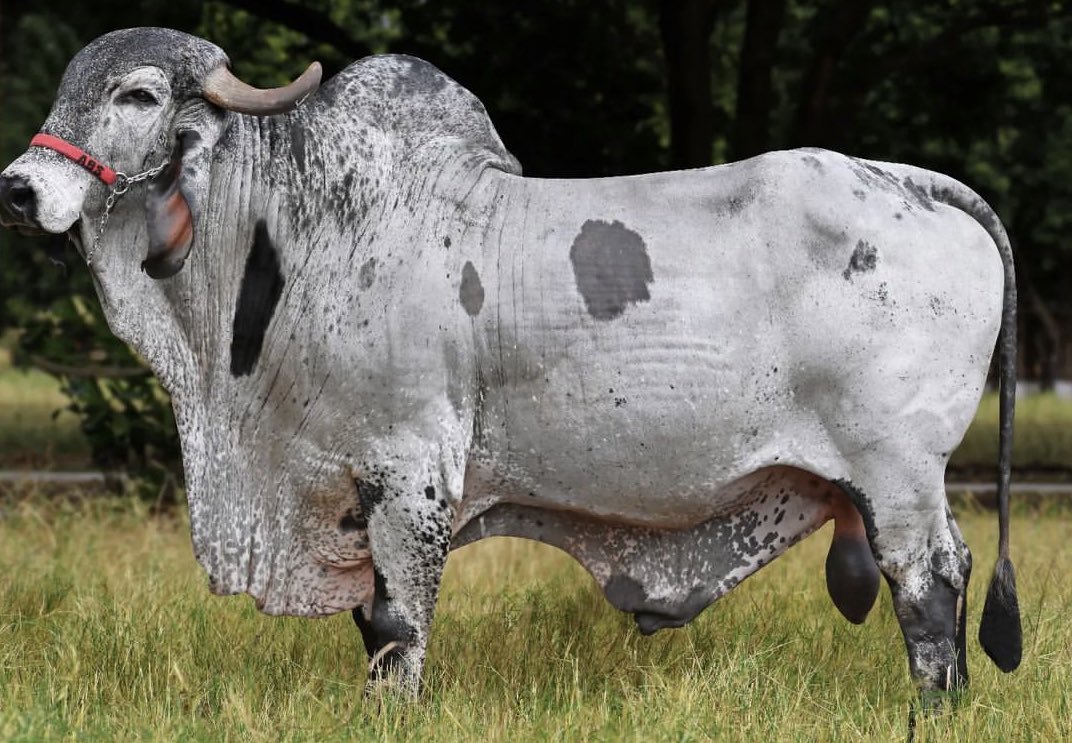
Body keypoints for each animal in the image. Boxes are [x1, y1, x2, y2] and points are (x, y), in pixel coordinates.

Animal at [0, 28, 1021, 706]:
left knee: (929, 582)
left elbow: (400, 622)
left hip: (898, 469)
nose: (18, 186)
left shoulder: (410, 465)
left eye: (136, 95)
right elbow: (374, 625)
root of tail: (907, 180)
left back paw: (935, 707)